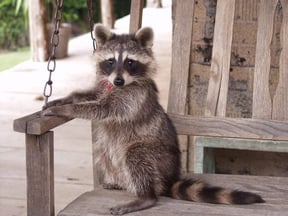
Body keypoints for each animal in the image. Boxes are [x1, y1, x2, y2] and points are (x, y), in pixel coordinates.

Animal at [41, 24, 264, 214]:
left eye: (130, 62)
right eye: (111, 61)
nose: (118, 80)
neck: (121, 85)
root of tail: (170, 177)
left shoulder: (134, 97)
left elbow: (103, 109)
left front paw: (67, 109)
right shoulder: (106, 85)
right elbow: (91, 95)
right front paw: (66, 99)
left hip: (156, 157)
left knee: (136, 156)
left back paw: (145, 197)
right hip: (111, 150)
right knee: (103, 149)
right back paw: (120, 182)